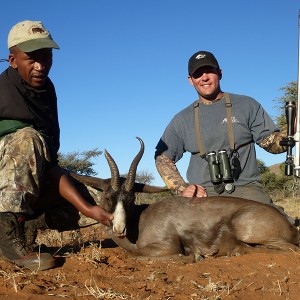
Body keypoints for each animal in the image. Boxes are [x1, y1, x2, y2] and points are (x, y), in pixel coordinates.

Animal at [71, 138, 300, 260]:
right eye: (108, 195)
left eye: (131, 197)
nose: (120, 228)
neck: (140, 220)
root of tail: (289, 224)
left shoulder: (167, 247)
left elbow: (135, 255)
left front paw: (195, 256)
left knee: (288, 249)